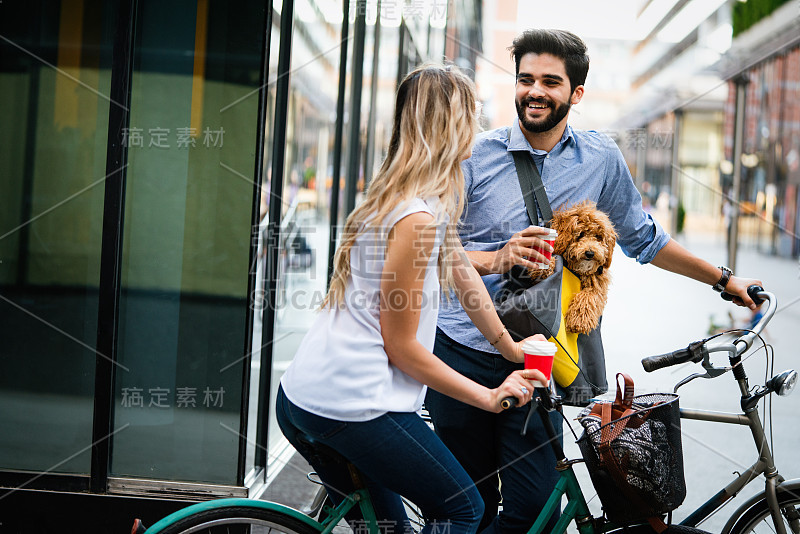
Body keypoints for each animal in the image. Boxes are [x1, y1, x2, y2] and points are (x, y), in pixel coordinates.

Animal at [532, 202, 620, 336]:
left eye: (598, 237)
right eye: (581, 234)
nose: (590, 253)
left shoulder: (599, 283)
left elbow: (589, 295)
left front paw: (579, 320)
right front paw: (545, 266)